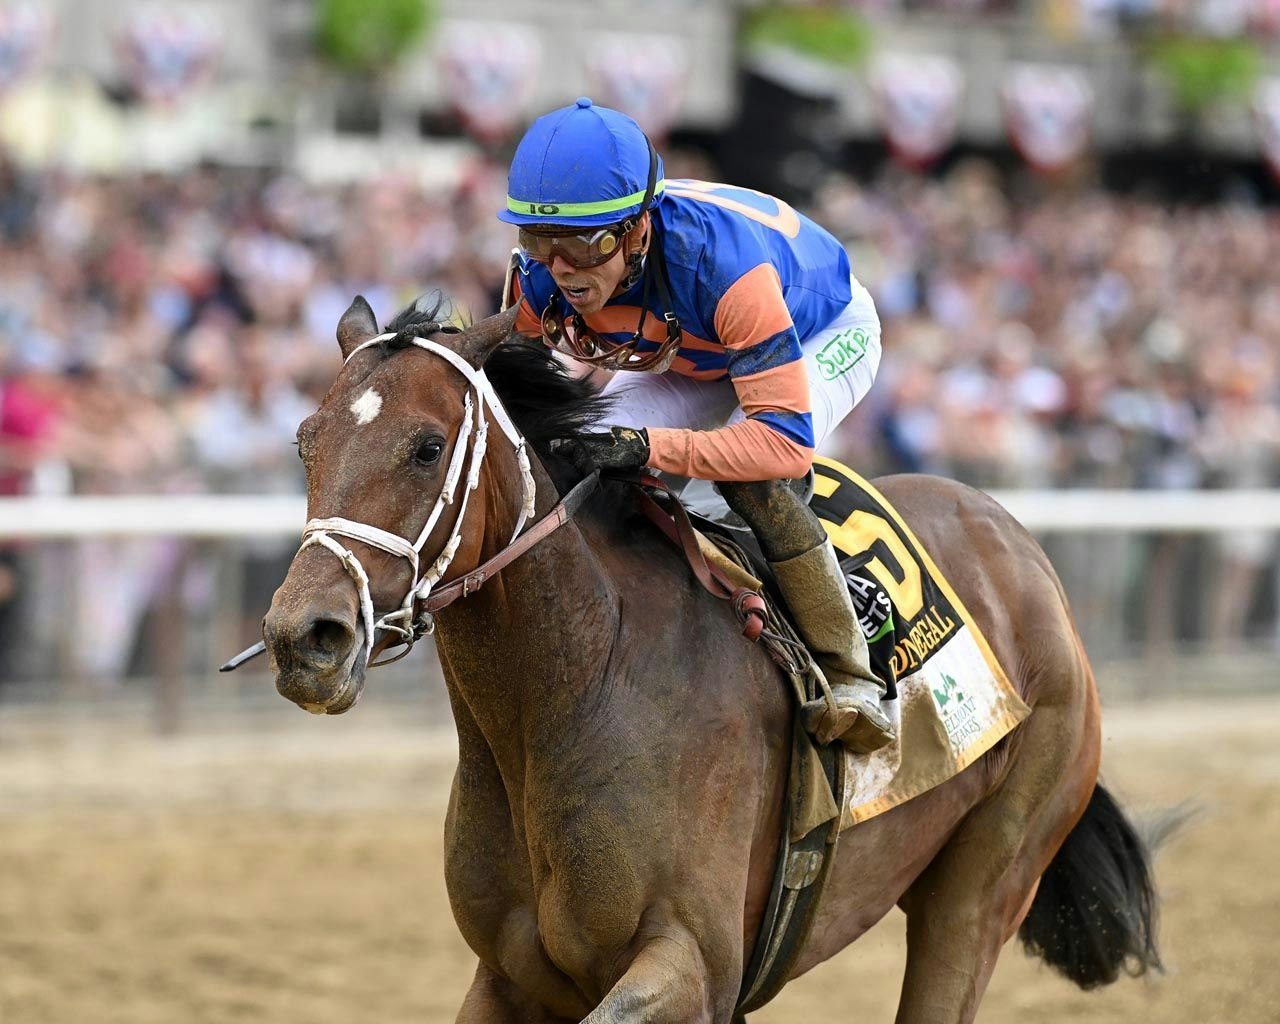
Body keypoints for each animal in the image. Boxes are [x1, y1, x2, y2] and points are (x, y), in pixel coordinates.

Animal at [262, 295, 1162, 1024]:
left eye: (426, 446)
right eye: (307, 444)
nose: (306, 637)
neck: (576, 687)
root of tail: (1022, 552)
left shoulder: (694, 963)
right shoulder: (513, 977)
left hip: (987, 882)